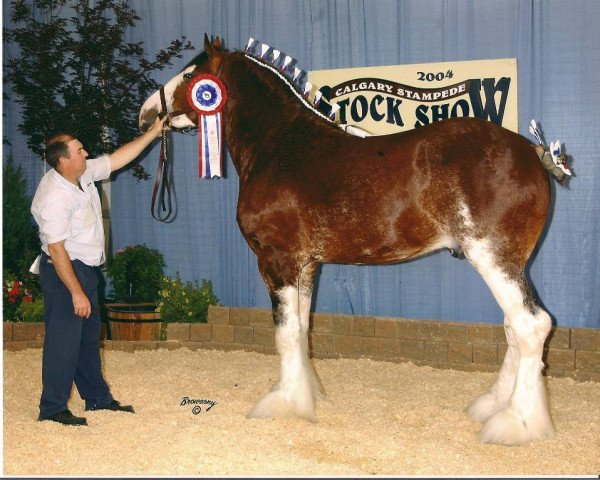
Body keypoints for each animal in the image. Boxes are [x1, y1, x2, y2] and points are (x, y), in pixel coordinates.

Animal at [139, 34, 564, 446]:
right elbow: (301, 328)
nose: (146, 113)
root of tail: (533, 152)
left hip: (493, 257)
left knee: (531, 326)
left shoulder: (278, 259)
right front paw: (306, 394)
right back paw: (494, 407)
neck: (281, 146)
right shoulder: (307, 264)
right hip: (509, 263)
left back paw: (515, 424)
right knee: (514, 329)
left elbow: (285, 333)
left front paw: (283, 404)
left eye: (190, 75)